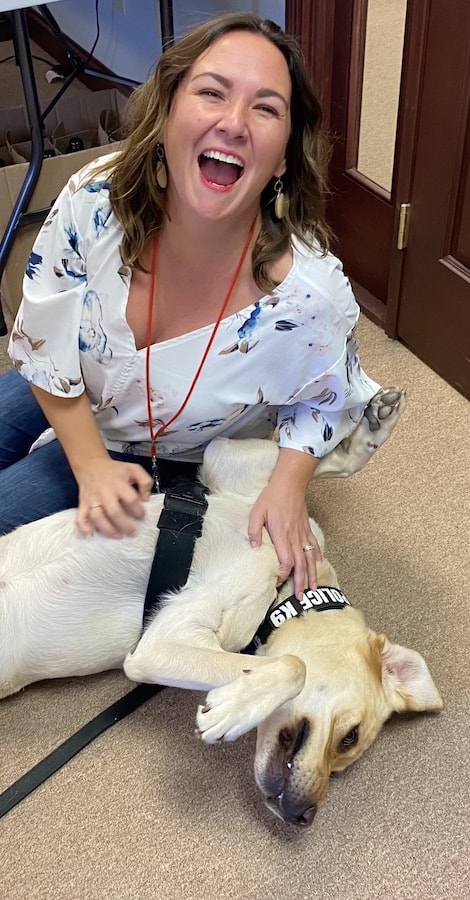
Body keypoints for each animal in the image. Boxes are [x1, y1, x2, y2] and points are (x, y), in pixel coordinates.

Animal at [0, 390, 442, 828]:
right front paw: (370, 427)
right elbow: (299, 465)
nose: (303, 816)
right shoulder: (227, 463)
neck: (286, 585)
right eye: (350, 737)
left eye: (346, 752)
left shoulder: (171, 639)